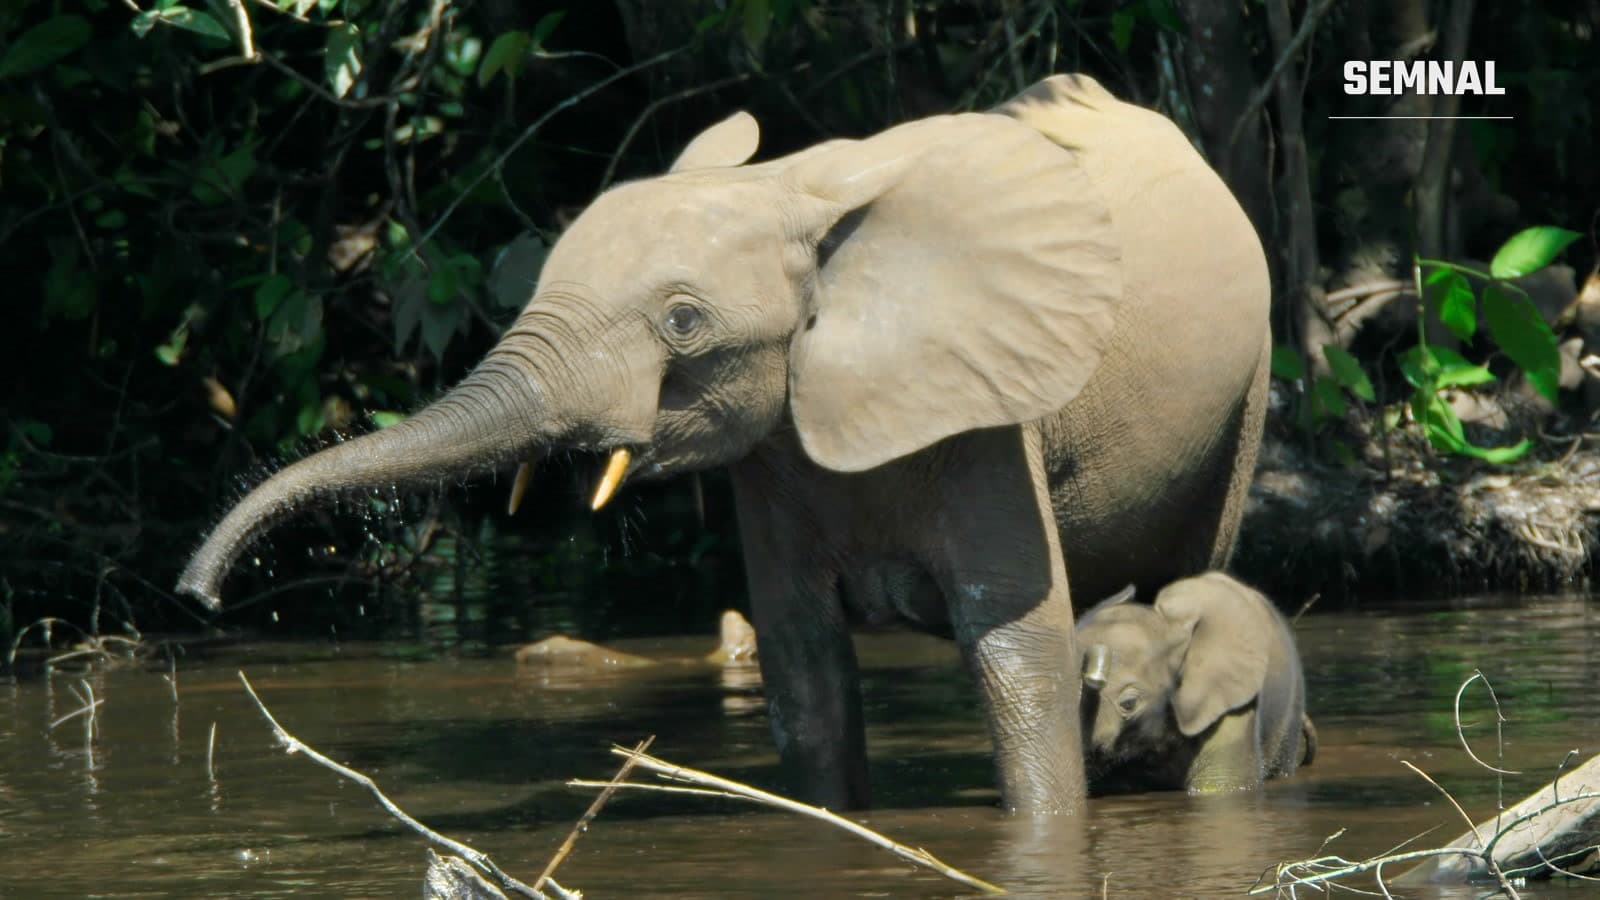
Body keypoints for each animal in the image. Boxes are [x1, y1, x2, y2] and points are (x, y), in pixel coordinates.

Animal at [177, 74, 1271, 815]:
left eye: (683, 322)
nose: (198, 597)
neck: (795, 192)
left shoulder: (988, 415)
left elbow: (1016, 650)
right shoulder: (775, 452)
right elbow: (804, 669)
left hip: (1248, 389)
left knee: (1187, 575)